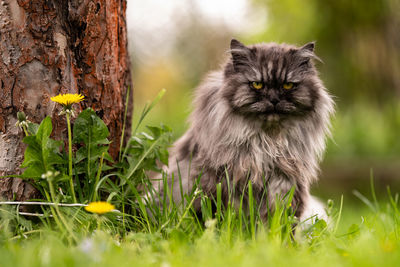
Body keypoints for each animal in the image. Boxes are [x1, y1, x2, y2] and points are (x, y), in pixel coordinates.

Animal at [153, 37, 334, 222]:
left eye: (288, 85)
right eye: (257, 84)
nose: (274, 99)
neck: (267, 141)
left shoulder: (286, 181)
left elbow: (280, 219)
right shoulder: (219, 180)